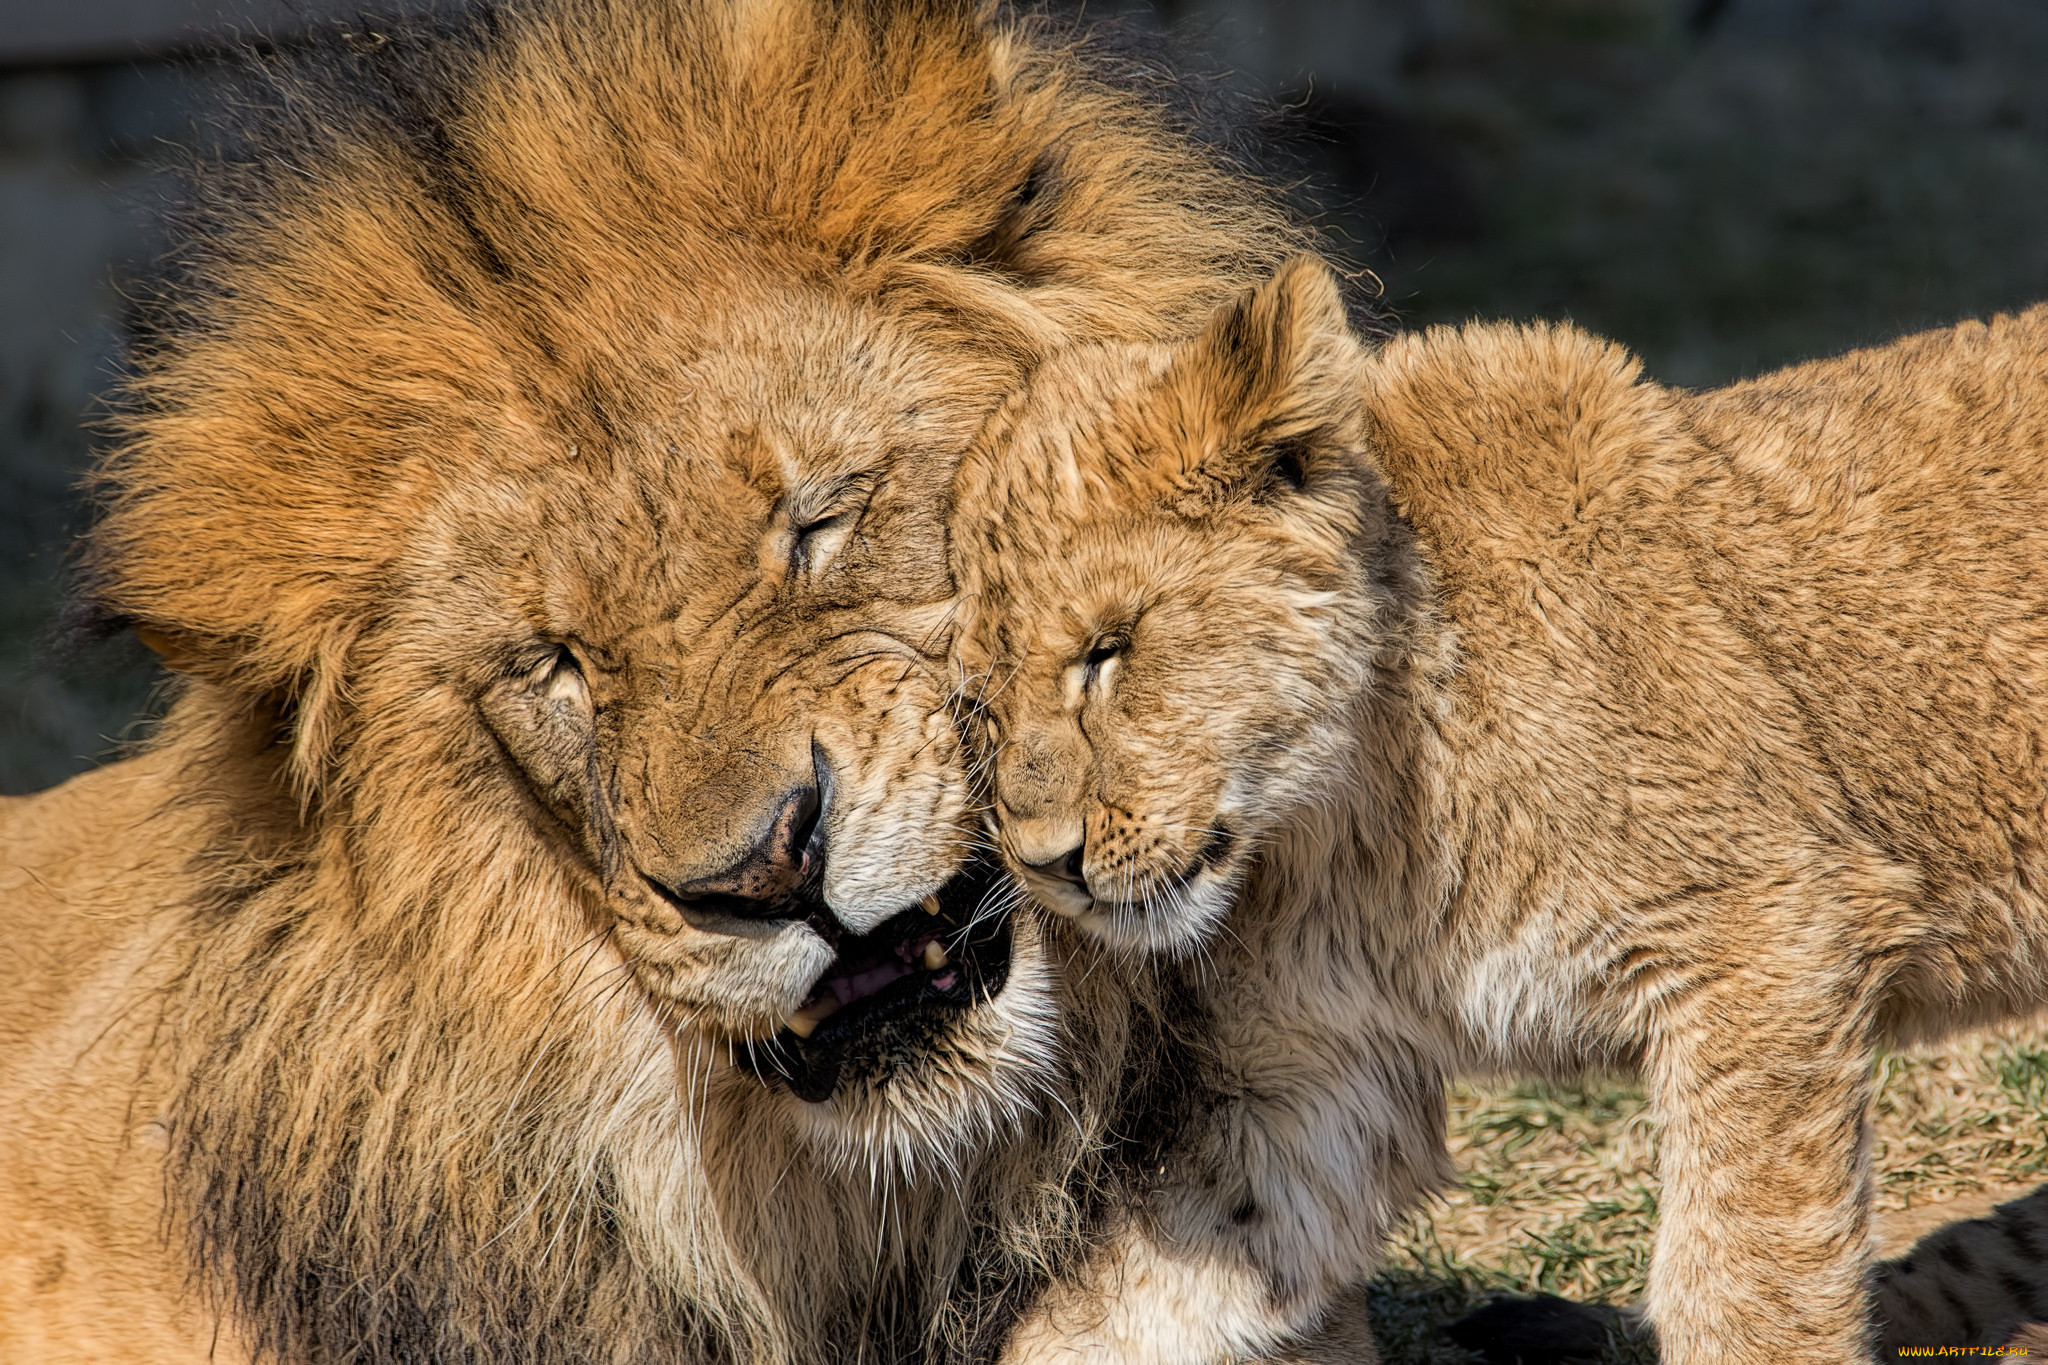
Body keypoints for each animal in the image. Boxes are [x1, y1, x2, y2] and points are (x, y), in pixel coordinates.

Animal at [950, 258, 2048, 1365]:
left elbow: (1746, 1283)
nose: (1043, 863)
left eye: (1108, 649)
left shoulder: (1771, 935)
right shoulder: (1306, 1074)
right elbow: (1134, 1294)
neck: (1340, 824)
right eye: (976, 703)